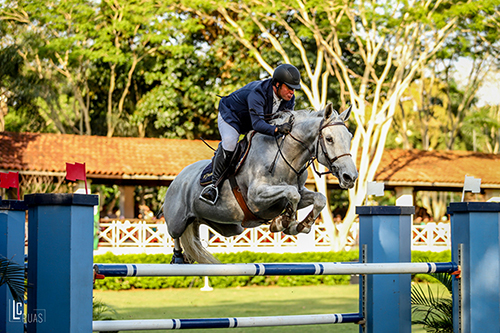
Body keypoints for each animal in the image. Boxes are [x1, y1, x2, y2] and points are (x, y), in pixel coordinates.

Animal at [164, 102, 360, 264]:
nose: (350, 177)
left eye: (350, 137)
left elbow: (318, 198)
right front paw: (283, 222)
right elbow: (291, 193)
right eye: (329, 139)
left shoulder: (301, 192)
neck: (284, 157)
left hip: (227, 227)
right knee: (175, 234)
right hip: (177, 220)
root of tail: (177, 180)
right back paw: (178, 258)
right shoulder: (256, 197)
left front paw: (300, 225)